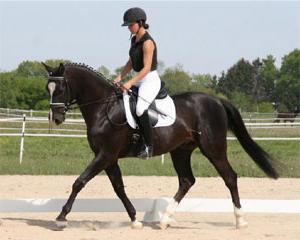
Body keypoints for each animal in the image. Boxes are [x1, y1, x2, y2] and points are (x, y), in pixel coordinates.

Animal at [41, 62, 278, 230]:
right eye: (47, 88)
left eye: (60, 88)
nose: (56, 118)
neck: (104, 107)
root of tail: (217, 101)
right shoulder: (109, 158)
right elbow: (119, 188)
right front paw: (134, 219)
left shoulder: (105, 155)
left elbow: (79, 182)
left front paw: (61, 217)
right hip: (181, 151)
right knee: (186, 181)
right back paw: (165, 220)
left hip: (213, 149)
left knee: (229, 177)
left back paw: (240, 220)